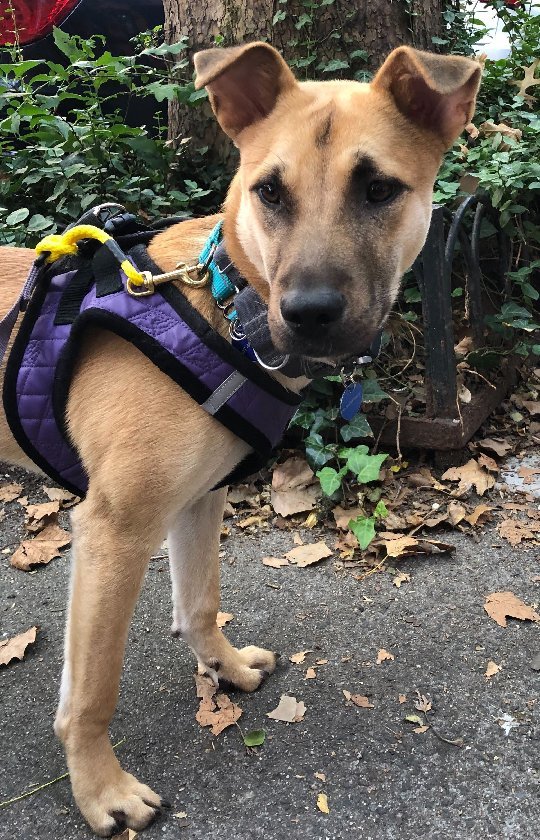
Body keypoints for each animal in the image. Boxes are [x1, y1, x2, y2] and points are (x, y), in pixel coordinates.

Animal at [0, 44, 480, 832]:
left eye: (379, 188)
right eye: (270, 193)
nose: (309, 312)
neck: (226, 307)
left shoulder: (198, 502)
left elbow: (198, 602)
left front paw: (221, 667)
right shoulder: (113, 530)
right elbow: (93, 688)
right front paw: (100, 788)